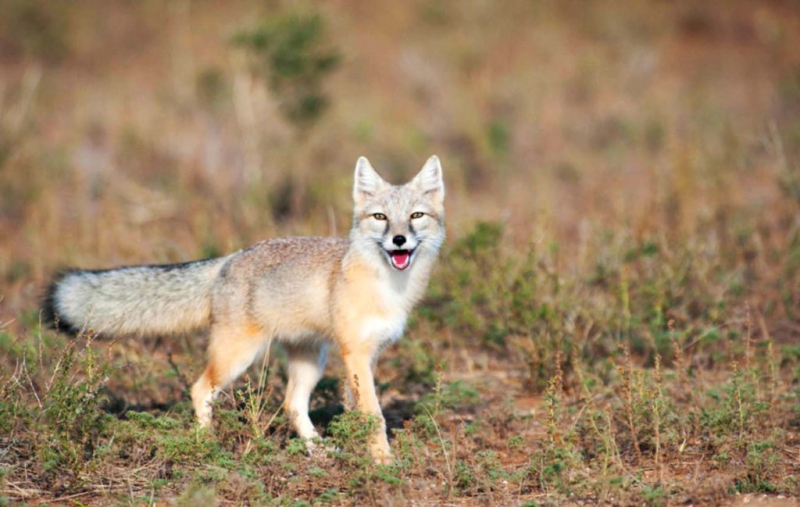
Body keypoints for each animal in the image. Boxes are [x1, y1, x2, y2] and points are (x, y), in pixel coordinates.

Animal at [42, 155, 444, 464]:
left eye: (416, 216)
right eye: (380, 218)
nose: (399, 240)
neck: (389, 288)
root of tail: (230, 258)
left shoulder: (366, 355)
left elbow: (357, 411)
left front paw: (362, 451)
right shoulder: (355, 354)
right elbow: (374, 414)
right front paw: (382, 460)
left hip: (310, 360)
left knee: (292, 404)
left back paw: (317, 450)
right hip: (238, 356)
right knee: (199, 390)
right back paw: (206, 443)